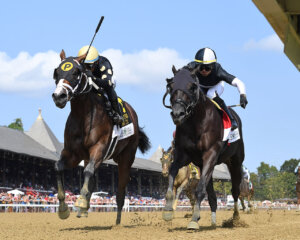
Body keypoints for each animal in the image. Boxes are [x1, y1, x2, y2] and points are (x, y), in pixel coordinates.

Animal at [52, 49, 150, 224]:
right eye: (56, 72)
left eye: (76, 72)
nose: (59, 96)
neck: (83, 115)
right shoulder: (73, 153)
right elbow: (58, 167)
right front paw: (63, 208)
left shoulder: (98, 148)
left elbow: (88, 171)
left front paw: (80, 201)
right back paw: (84, 210)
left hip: (126, 157)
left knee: (120, 191)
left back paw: (117, 222)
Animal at [163, 66, 245, 230]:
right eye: (171, 86)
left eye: (192, 87)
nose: (177, 114)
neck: (196, 123)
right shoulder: (184, 155)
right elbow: (172, 173)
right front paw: (168, 210)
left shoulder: (210, 154)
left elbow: (200, 189)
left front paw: (194, 219)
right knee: (212, 193)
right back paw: (213, 221)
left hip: (235, 161)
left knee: (235, 191)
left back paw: (235, 218)